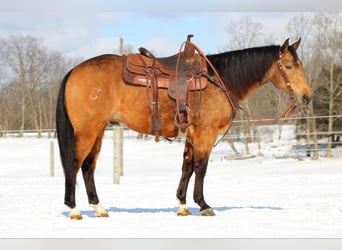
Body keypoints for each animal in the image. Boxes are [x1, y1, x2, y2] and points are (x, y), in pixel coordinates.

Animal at [56, 37, 312, 219]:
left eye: (300, 65)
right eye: (288, 66)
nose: (306, 97)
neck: (219, 80)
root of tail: (73, 71)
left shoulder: (191, 135)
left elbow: (187, 167)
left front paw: (182, 205)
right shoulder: (205, 134)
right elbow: (201, 168)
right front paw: (204, 204)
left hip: (98, 130)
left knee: (87, 167)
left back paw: (99, 208)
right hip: (86, 131)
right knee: (74, 165)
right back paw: (74, 209)